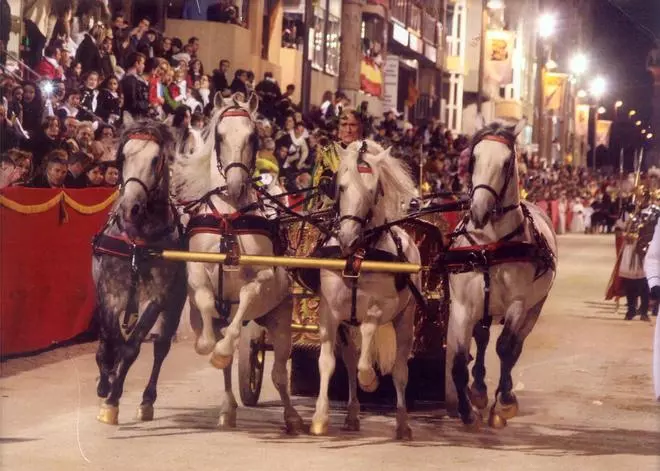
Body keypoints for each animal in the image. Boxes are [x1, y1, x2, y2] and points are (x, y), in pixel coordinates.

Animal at [171, 92, 302, 436]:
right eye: (219, 136)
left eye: (252, 136)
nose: (235, 184)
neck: (229, 217)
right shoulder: (196, 273)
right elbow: (205, 302)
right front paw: (209, 347)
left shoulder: (264, 277)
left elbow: (244, 297)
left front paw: (222, 346)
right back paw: (227, 409)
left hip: (280, 319)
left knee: (280, 373)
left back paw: (292, 417)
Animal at [308, 139, 418, 438]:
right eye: (342, 186)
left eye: (372, 190)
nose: (347, 237)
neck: (357, 256)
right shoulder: (330, 313)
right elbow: (327, 363)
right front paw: (320, 417)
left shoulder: (379, 309)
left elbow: (368, 351)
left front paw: (369, 380)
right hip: (348, 326)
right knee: (349, 360)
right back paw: (352, 415)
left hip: (405, 319)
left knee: (400, 370)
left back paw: (403, 423)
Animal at [444, 120, 556, 430]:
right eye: (473, 158)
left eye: (507, 163)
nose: (479, 209)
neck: (489, 245)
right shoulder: (462, 306)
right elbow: (459, 361)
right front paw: (467, 409)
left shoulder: (518, 304)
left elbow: (506, 348)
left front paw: (504, 403)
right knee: (482, 340)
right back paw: (480, 390)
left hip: (534, 308)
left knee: (515, 346)